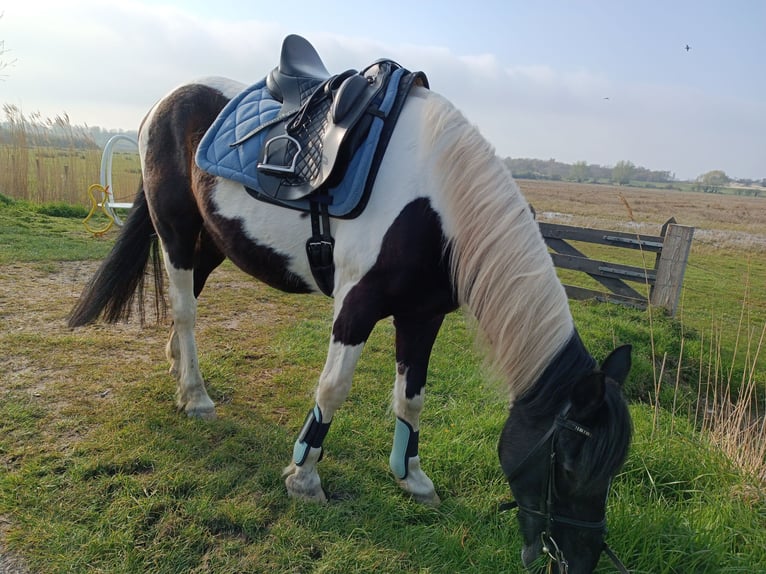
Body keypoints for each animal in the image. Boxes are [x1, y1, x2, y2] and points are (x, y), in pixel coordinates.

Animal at [69, 56, 636, 572]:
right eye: (568, 460)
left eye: (615, 467)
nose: (581, 560)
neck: (434, 202)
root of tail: (161, 105)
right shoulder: (356, 307)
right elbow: (332, 389)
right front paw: (304, 478)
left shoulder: (423, 316)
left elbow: (412, 397)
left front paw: (411, 478)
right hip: (177, 232)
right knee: (186, 311)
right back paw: (195, 395)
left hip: (212, 242)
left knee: (185, 308)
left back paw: (177, 371)